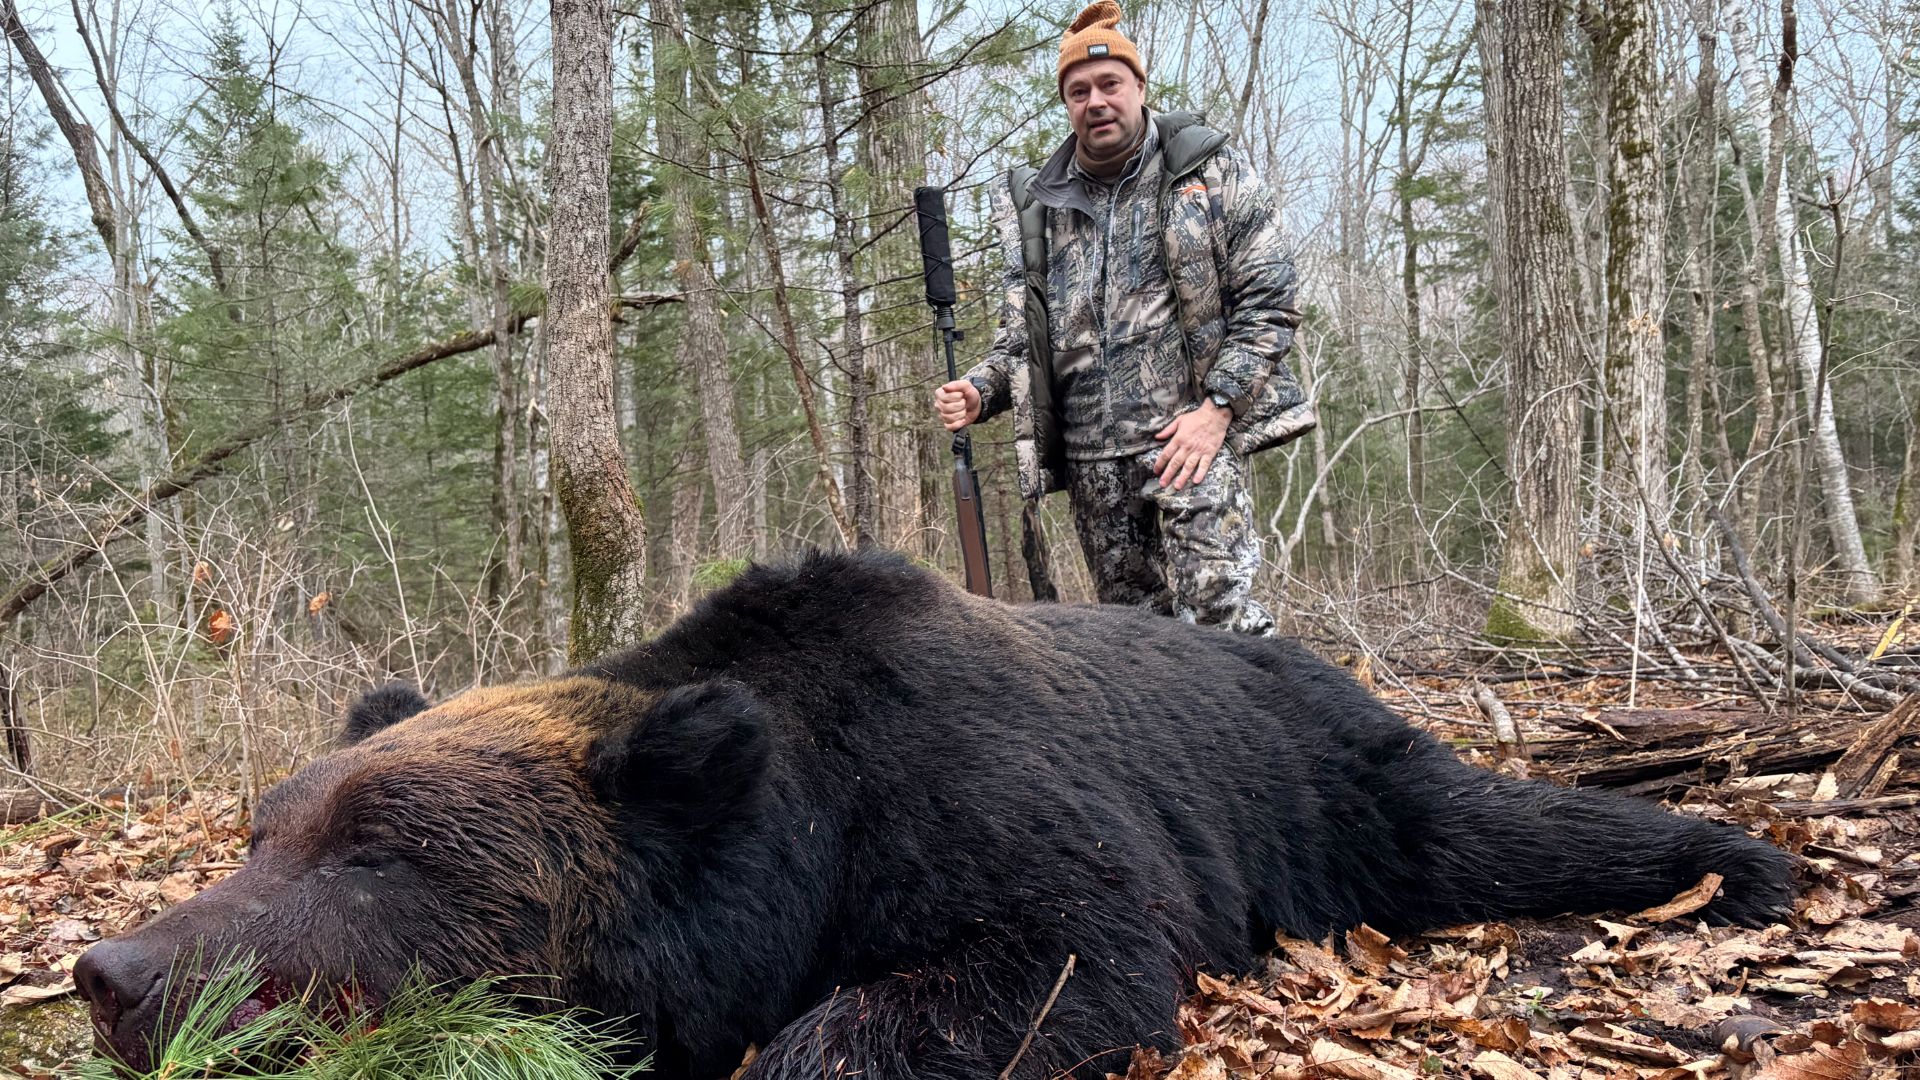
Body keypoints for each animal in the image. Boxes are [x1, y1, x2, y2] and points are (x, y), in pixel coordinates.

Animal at [75, 550, 1795, 1078]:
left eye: (380, 857)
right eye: (264, 835)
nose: (113, 972)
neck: (811, 826)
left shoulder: (993, 818)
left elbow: (1050, 959)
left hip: (1331, 783)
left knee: (1484, 828)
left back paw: (1742, 858)